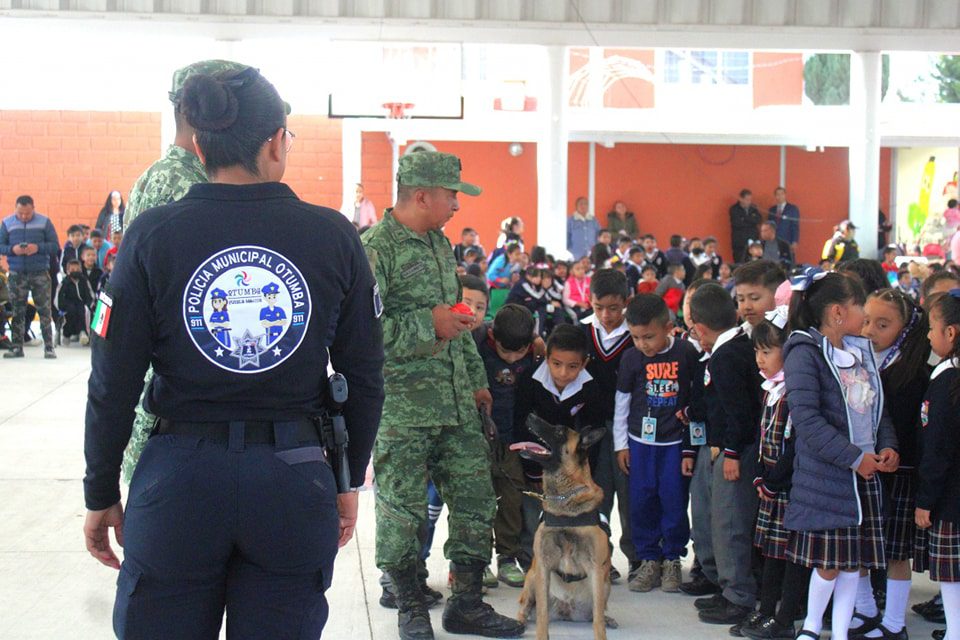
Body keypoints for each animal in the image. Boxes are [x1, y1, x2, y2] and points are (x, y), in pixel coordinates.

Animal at [510, 412, 616, 636]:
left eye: (559, 431)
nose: (530, 415)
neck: (565, 504)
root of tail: (566, 611)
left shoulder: (596, 569)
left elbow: (598, 622)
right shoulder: (542, 567)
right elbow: (541, 616)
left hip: (605, 584)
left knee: (597, 612)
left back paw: (608, 618)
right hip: (531, 579)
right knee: (525, 608)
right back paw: (519, 622)